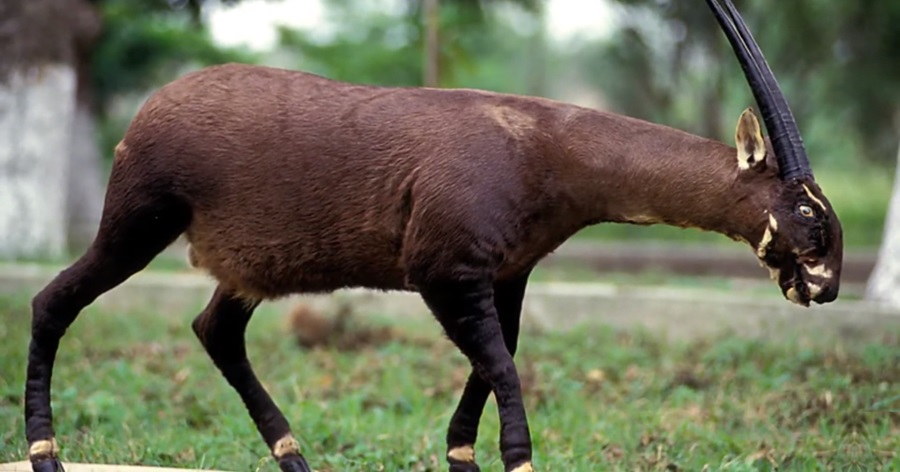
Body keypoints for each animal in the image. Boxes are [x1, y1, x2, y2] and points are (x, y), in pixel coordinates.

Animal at [26, 0, 844, 472]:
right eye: (808, 211)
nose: (828, 286)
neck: (544, 146)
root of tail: (146, 111)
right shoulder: (443, 272)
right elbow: (504, 368)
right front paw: (514, 462)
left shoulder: (505, 273)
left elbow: (496, 361)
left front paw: (461, 459)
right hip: (138, 221)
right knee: (52, 301)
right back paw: (44, 454)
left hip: (243, 267)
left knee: (214, 328)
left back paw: (296, 459)